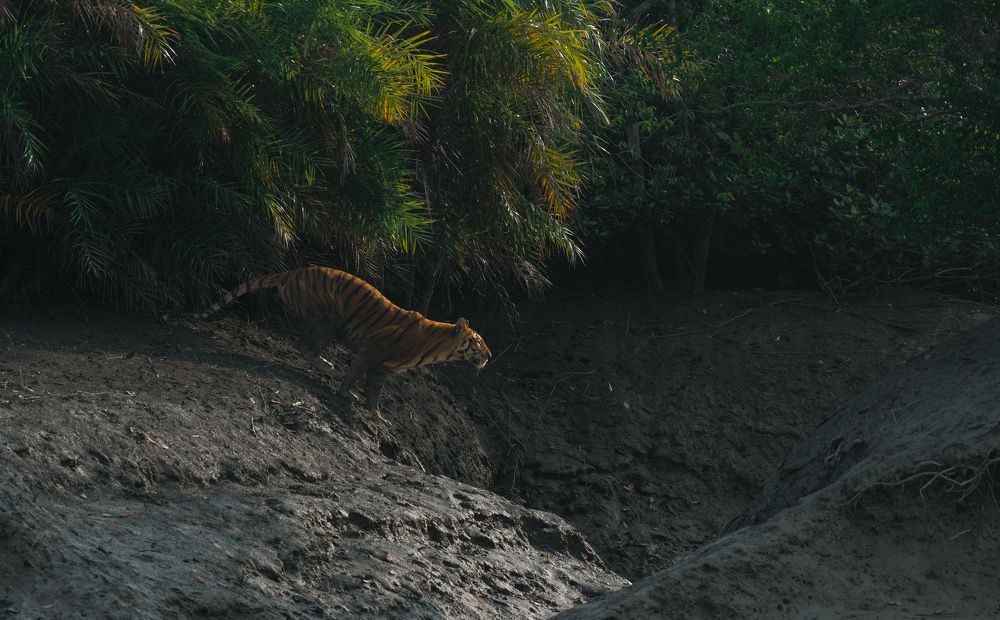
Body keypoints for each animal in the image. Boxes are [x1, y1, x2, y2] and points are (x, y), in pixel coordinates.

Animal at [198, 266, 491, 411]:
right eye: (477, 342)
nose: (489, 356)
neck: (437, 349)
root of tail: (292, 272)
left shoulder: (383, 370)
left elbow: (374, 393)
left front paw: (376, 416)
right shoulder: (372, 350)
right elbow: (355, 374)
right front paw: (345, 393)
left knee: (305, 345)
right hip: (328, 318)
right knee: (304, 345)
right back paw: (328, 366)